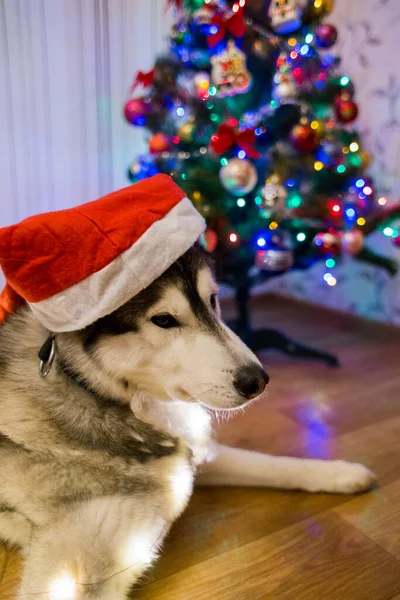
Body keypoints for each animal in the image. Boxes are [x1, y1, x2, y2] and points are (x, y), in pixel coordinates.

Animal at [0, 176, 374, 596]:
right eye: (164, 319)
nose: (258, 380)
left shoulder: (195, 454)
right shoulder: (70, 573)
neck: (98, 394)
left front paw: (340, 473)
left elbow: (270, 462)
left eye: (213, 301)